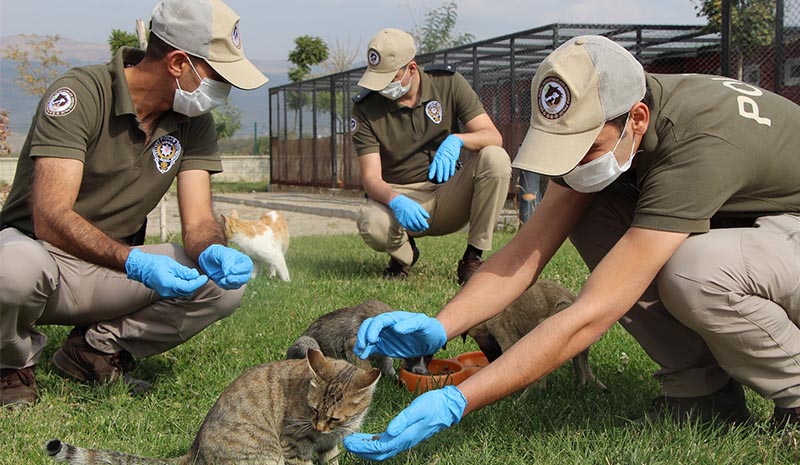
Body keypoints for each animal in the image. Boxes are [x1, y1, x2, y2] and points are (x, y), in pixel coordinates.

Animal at [44, 350, 382, 462]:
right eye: (312, 410)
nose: (318, 425)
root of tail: (195, 449)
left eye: (334, 419)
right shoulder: (294, 445)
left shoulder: (329, 445)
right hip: (265, 457)